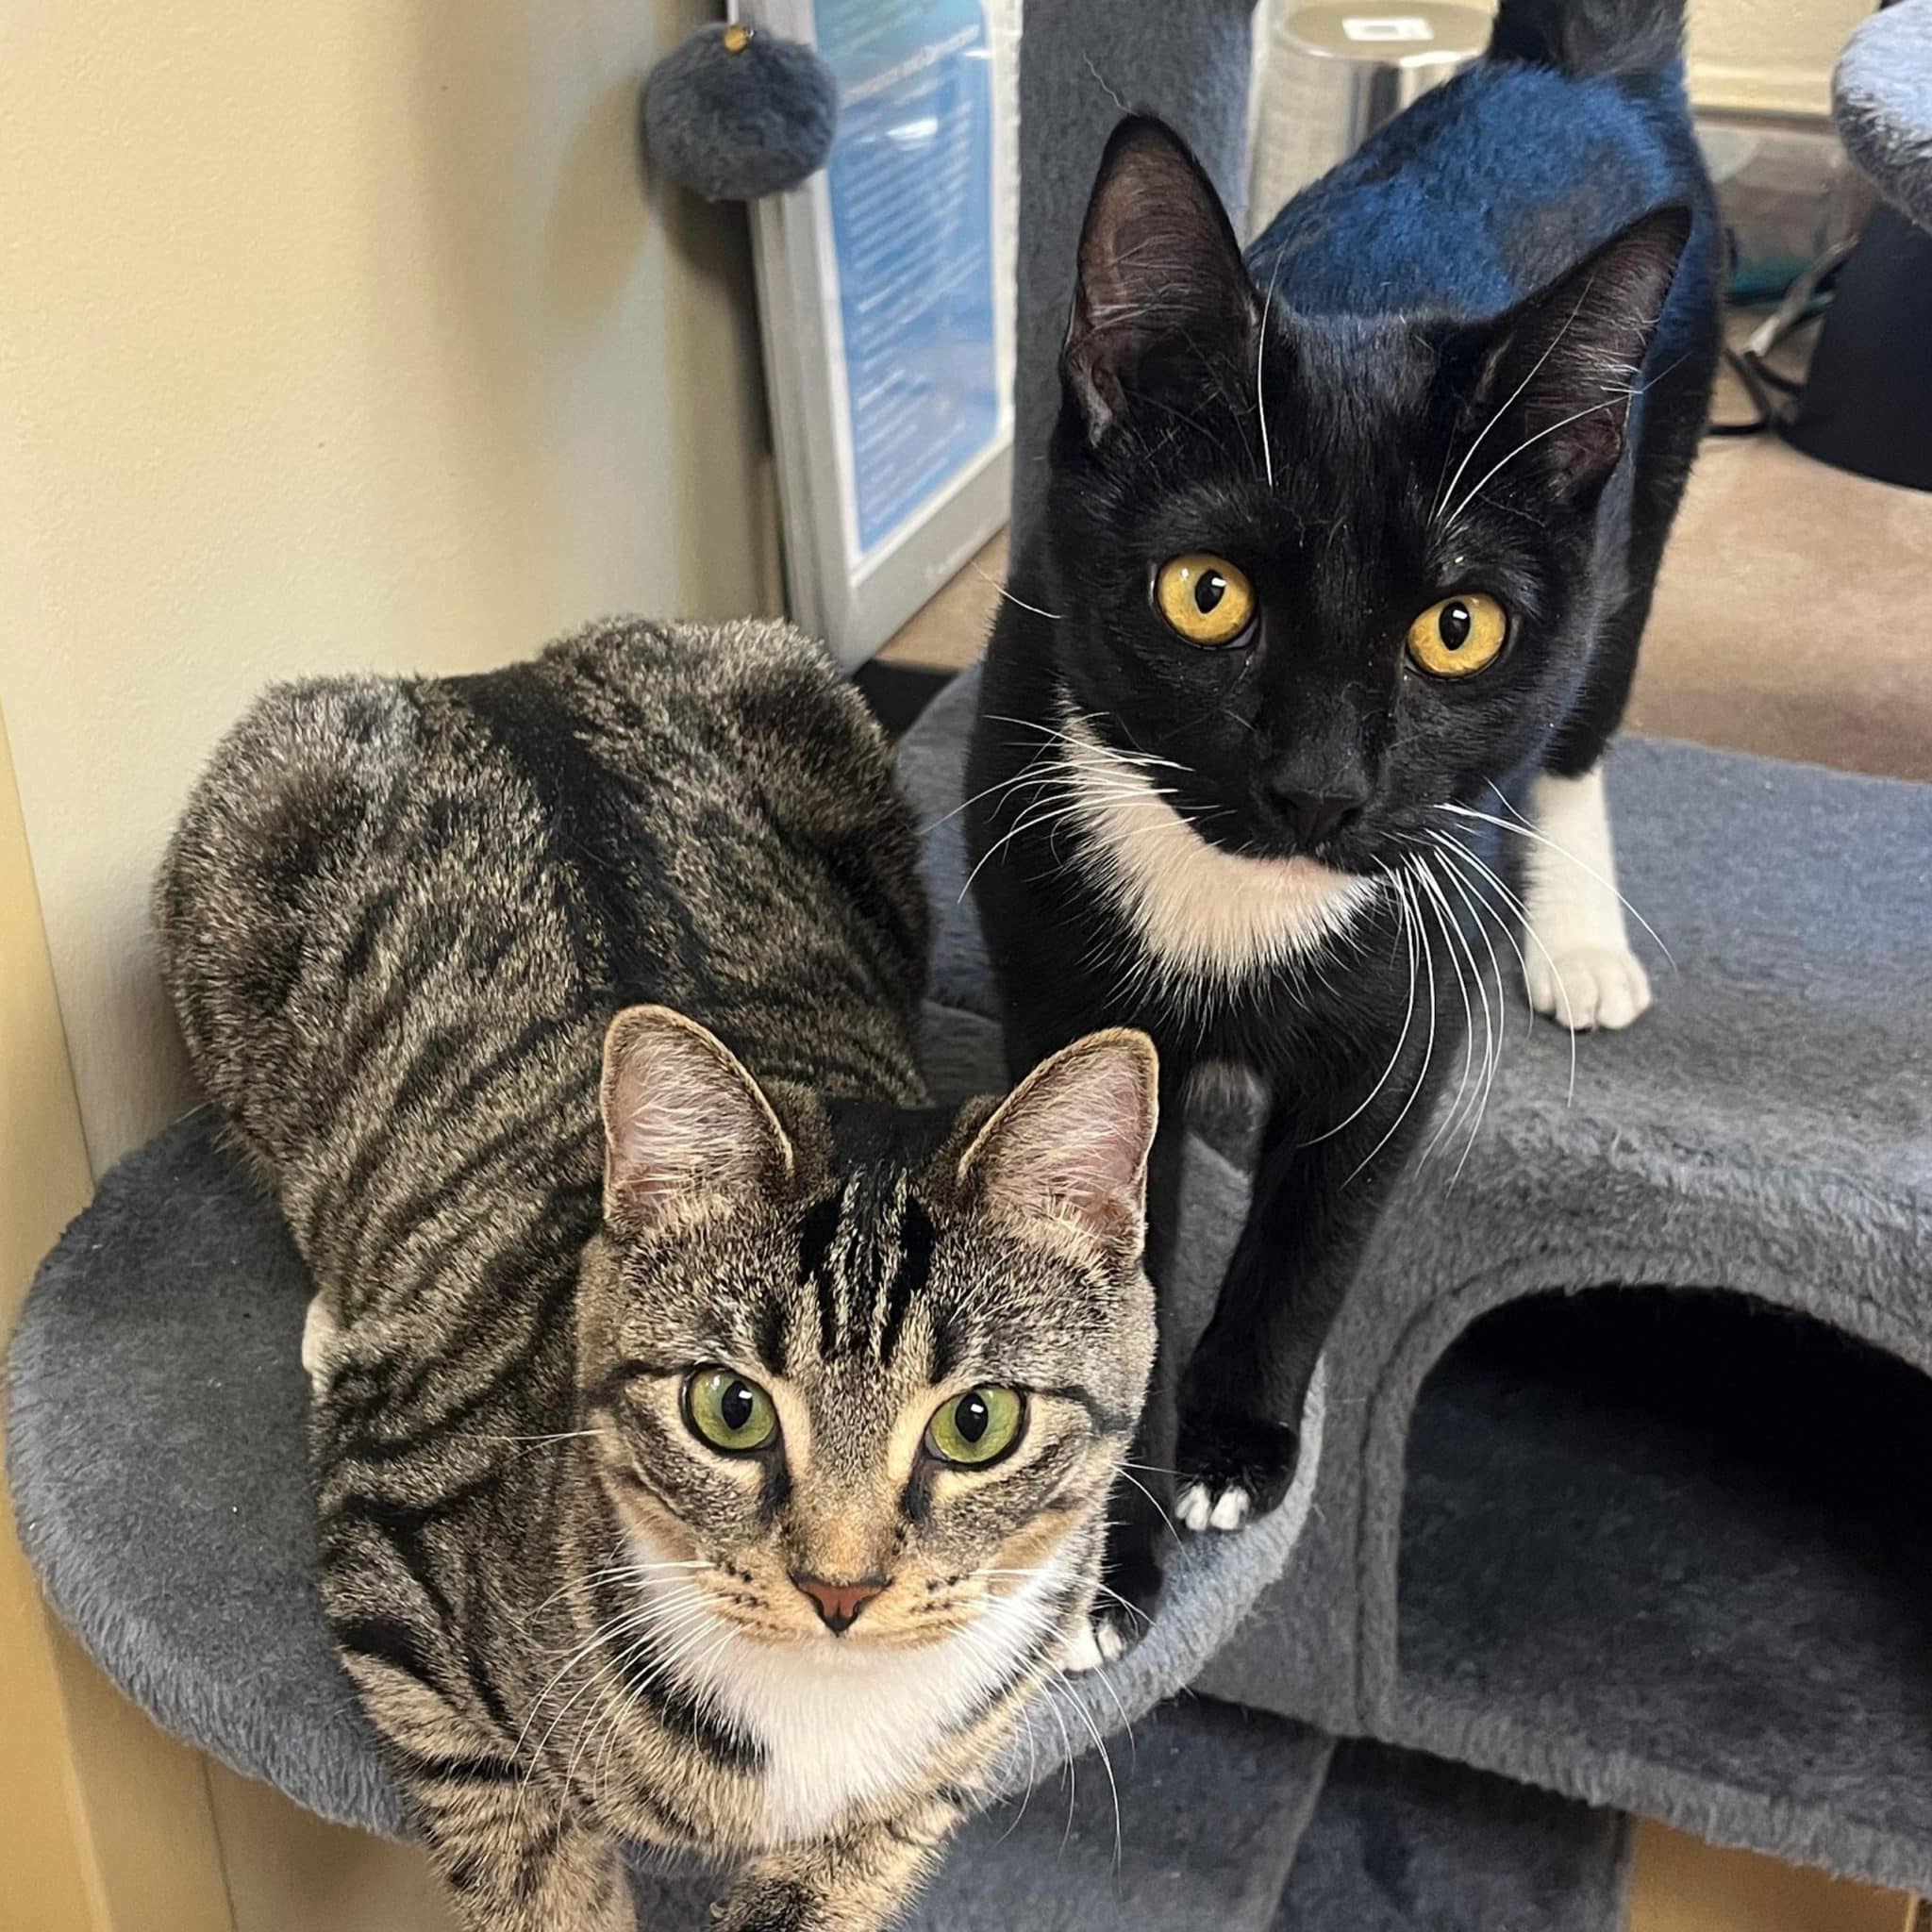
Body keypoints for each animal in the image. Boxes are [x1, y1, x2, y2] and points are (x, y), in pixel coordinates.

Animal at [157, 617, 1159, 1932]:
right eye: (728, 1407)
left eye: (977, 1421)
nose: (839, 1589)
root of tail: (496, 675)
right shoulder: (396, 1560)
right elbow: (522, 1847)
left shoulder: (965, 1736)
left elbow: (869, 1839)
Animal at [966, 0, 1721, 1632]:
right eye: (1206, 594)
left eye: (1459, 629)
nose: (1319, 785)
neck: (1234, 898)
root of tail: (1564, 72)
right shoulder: (1057, 966)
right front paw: (1113, 1563)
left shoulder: (1405, 1013)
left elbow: (1319, 1232)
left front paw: (1234, 1450)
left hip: (1644, 507)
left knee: (1584, 727)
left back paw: (1579, 941)